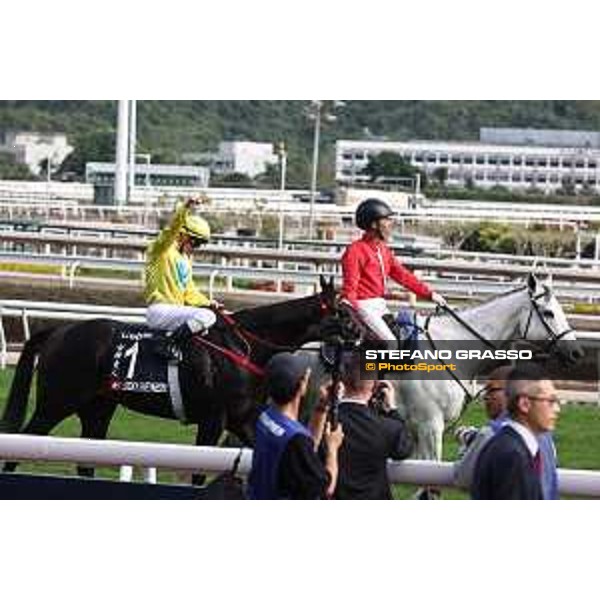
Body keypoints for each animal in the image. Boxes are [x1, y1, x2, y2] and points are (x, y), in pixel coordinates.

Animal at [0, 278, 340, 478]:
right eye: (344, 312)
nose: (356, 338)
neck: (245, 346)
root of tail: (58, 331)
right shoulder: (213, 419)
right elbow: (200, 471)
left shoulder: (241, 418)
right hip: (56, 402)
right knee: (24, 442)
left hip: (98, 408)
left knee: (86, 460)